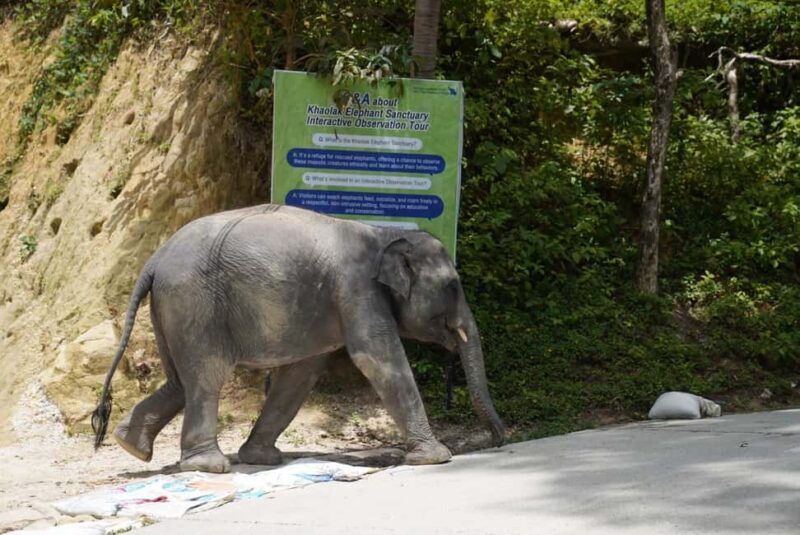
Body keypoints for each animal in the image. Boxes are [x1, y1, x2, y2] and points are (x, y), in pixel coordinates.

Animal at [92, 204, 506, 473]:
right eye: (453, 286)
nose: (499, 440)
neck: (383, 233)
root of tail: (155, 259)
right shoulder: (357, 290)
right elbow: (376, 359)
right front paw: (436, 458)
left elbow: (301, 373)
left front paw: (261, 459)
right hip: (193, 302)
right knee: (206, 377)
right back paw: (210, 466)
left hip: (171, 308)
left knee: (180, 380)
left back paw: (130, 445)